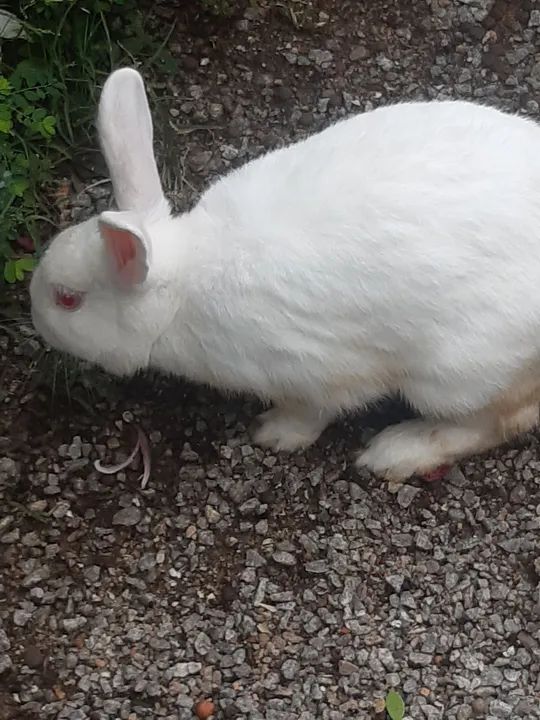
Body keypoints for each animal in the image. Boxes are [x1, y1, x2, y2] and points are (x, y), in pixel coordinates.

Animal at [30, 67, 540, 482]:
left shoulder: (313, 371)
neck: (181, 289)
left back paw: (398, 452)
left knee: (498, 421)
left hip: (457, 373)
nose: (34, 317)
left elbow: (312, 411)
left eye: (67, 299)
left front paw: (272, 433)